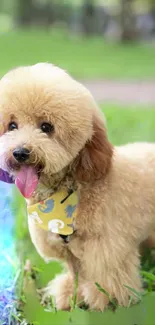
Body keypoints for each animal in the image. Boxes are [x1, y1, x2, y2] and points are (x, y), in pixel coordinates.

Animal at [0, 62, 155, 310]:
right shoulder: (68, 249)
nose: (20, 152)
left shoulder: (108, 247)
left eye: (46, 127)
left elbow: (108, 280)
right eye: (11, 125)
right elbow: (76, 274)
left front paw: (104, 303)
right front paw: (69, 296)